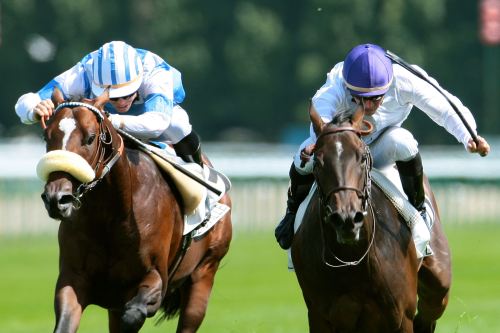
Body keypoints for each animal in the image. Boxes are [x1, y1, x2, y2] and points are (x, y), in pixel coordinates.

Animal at [39, 89, 232, 330]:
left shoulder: (156, 278)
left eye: (90, 138)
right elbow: (65, 321)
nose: (57, 199)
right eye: (47, 137)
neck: (110, 216)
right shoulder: (74, 279)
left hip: (205, 272)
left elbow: (133, 313)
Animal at [292, 107, 452, 332]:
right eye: (318, 161)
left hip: (438, 279)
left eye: (361, 158)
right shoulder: (320, 316)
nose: (347, 218)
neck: (352, 258)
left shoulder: (402, 316)